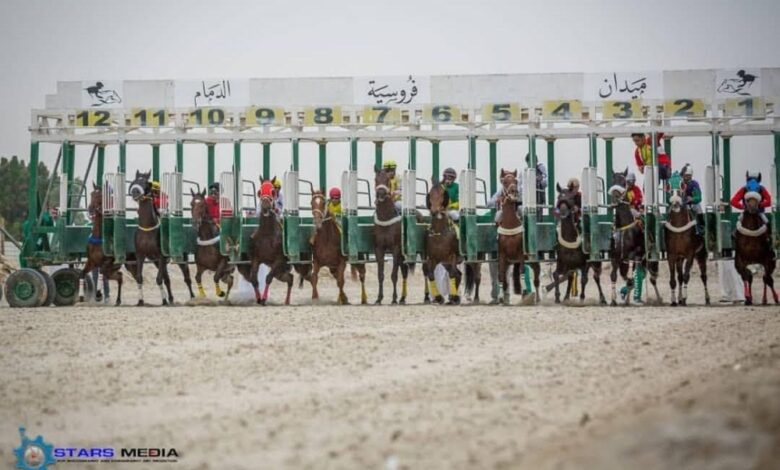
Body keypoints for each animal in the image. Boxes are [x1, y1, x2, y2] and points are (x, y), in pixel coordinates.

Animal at [374, 169, 412, 304]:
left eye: (387, 180)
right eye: (376, 179)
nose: (380, 193)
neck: (386, 218)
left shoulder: (396, 248)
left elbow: (394, 275)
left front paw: (394, 298)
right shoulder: (379, 248)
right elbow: (380, 275)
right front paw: (379, 298)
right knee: (405, 272)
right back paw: (403, 298)